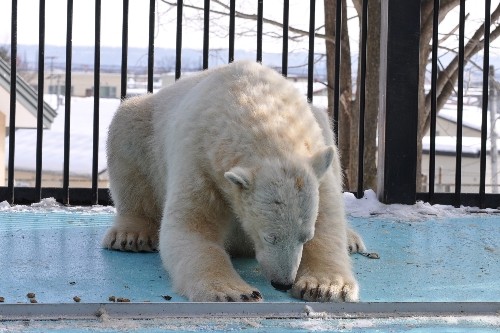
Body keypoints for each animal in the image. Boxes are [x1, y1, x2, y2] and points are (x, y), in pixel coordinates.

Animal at [103, 59, 366, 300]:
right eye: (269, 236)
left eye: (305, 236)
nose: (282, 283)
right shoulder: (201, 162)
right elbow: (192, 227)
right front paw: (234, 292)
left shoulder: (315, 164)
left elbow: (328, 225)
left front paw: (325, 287)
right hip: (147, 129)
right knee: (127, 135)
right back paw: (131, 235)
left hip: (322, 124)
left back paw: (351, 239)